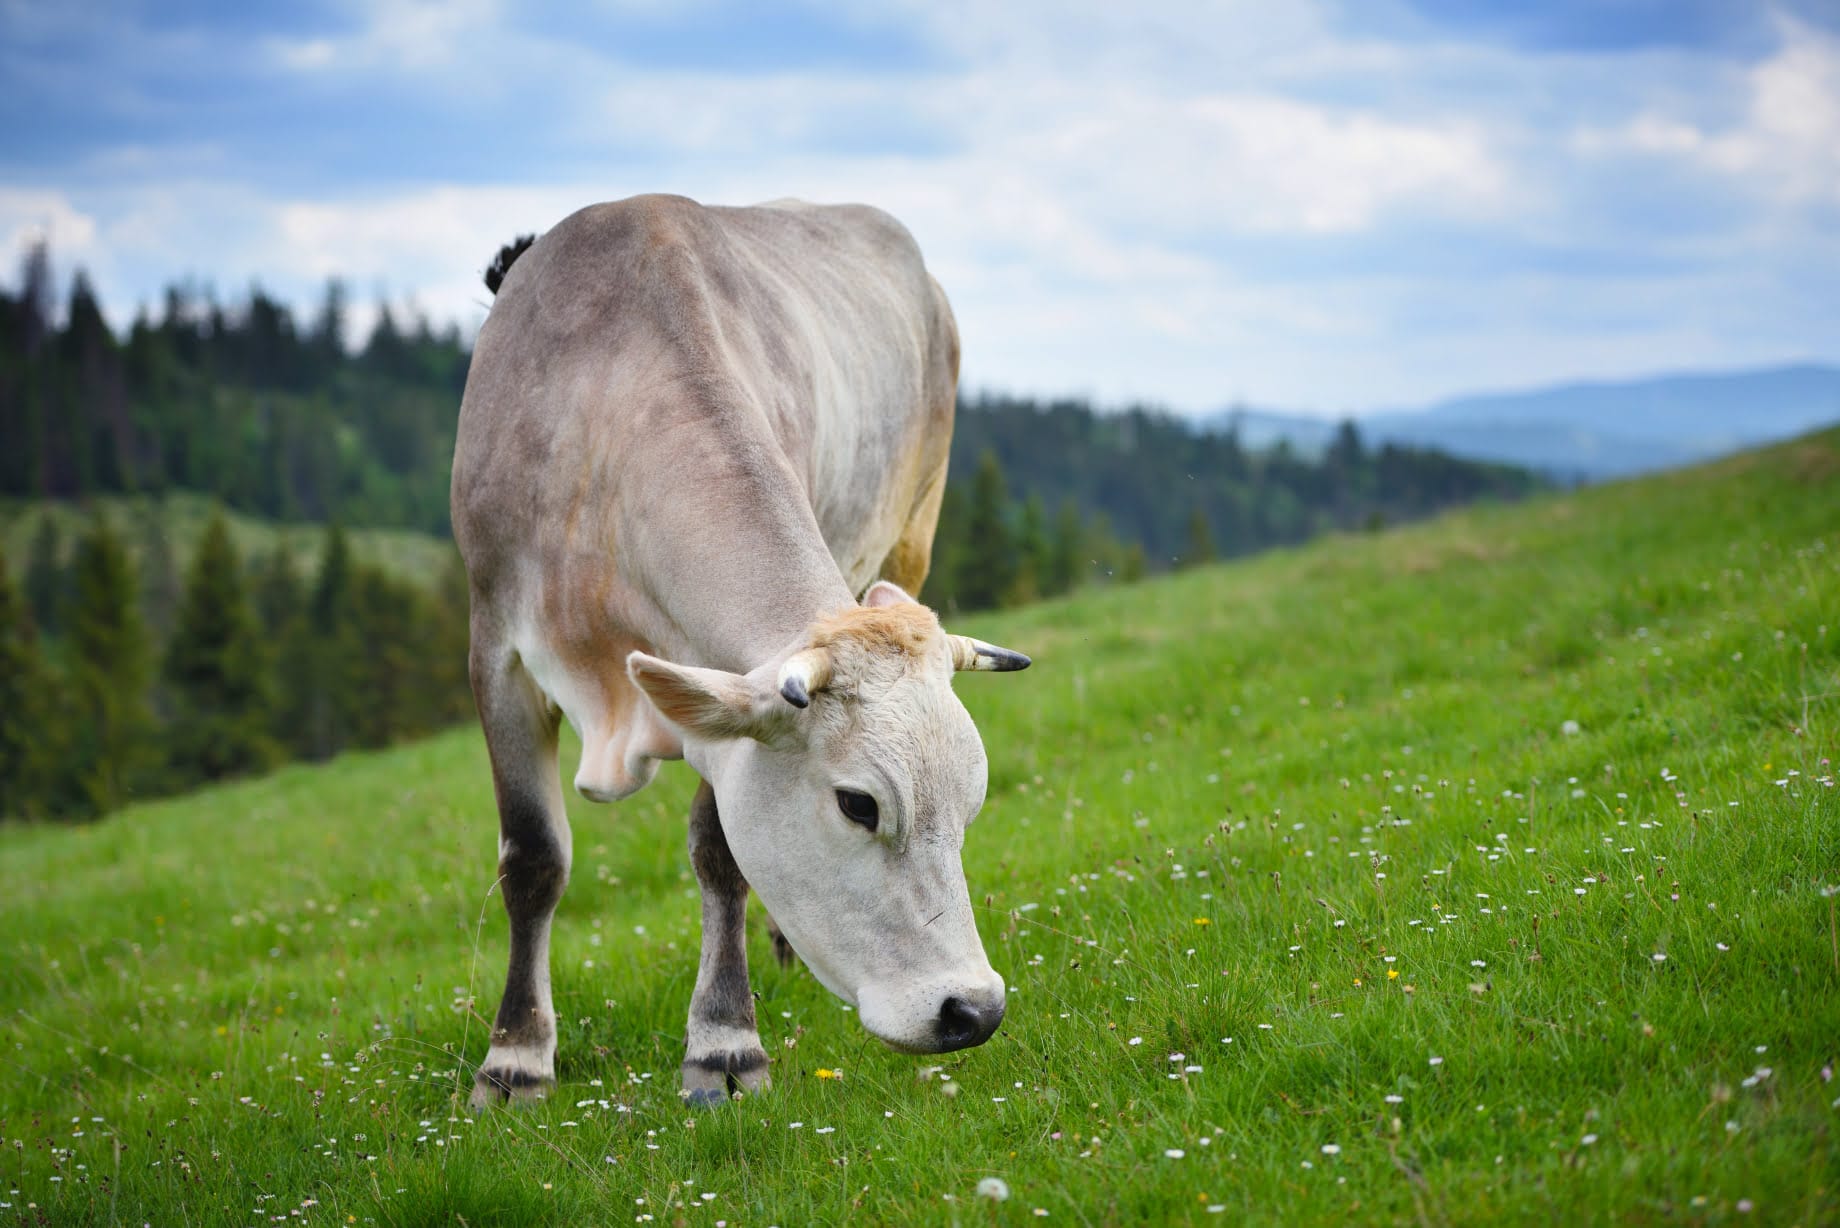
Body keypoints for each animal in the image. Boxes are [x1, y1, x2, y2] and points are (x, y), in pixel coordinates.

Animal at [443, 194, 1023, 1112]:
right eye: (859, 804)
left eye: (969, 807)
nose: (974, 1009)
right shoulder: (494, 648)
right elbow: (533, 858)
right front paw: (515, 1059)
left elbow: (720, 855)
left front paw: (724, 1041)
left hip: (910, 538)